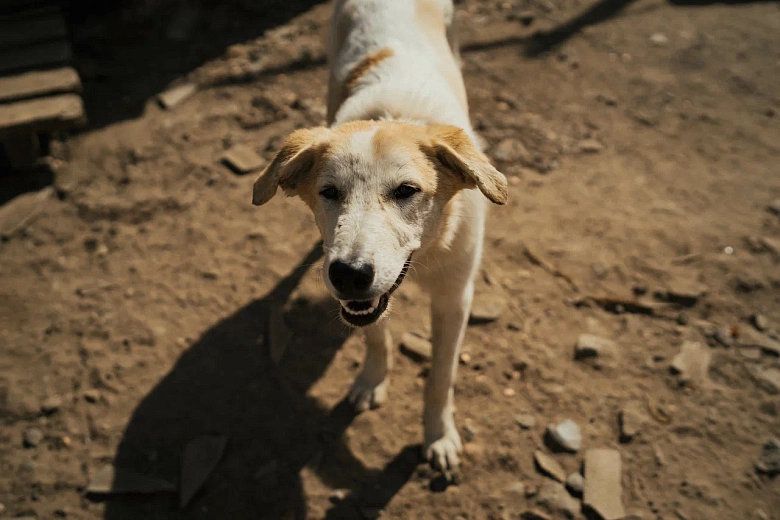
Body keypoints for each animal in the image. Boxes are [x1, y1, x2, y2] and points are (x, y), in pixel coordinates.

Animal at [250, 0, 506, 472]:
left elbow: (441, 376)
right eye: (329, 192)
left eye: (407, 191)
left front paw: (438, 436)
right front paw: (372, 380)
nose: (348, 274)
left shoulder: (455, 296)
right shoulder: (363, 299)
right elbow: (373, 333)